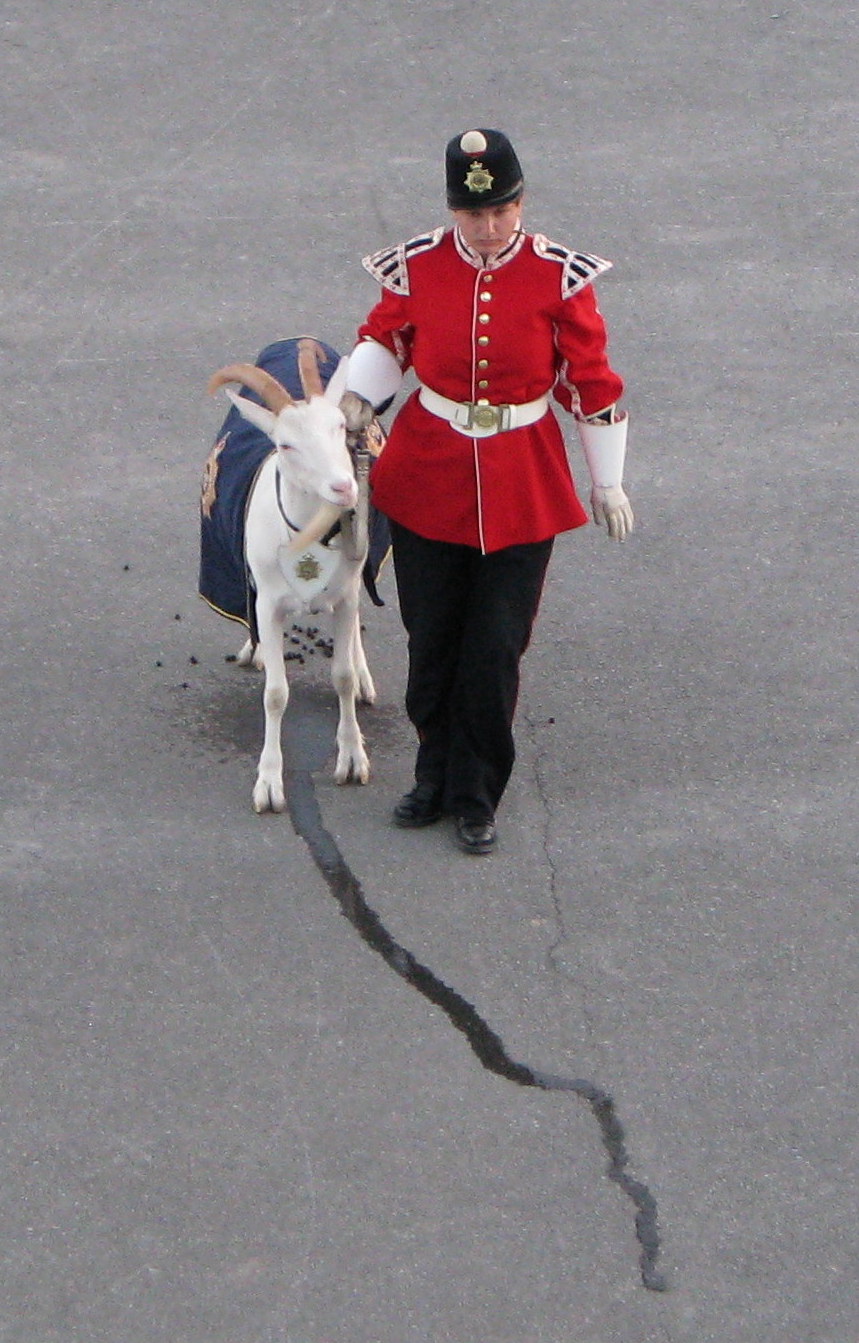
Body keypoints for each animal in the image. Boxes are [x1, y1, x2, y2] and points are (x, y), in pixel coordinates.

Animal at [201, 341, 378, 811]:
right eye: (285, 444)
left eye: (339, 425)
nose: (344, 488)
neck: (308, 534)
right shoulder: (268, 603)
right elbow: (276, 694)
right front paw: (268, 783)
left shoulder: (346, 592)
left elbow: (341, 676)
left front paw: (352, 758)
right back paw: (255, 649)